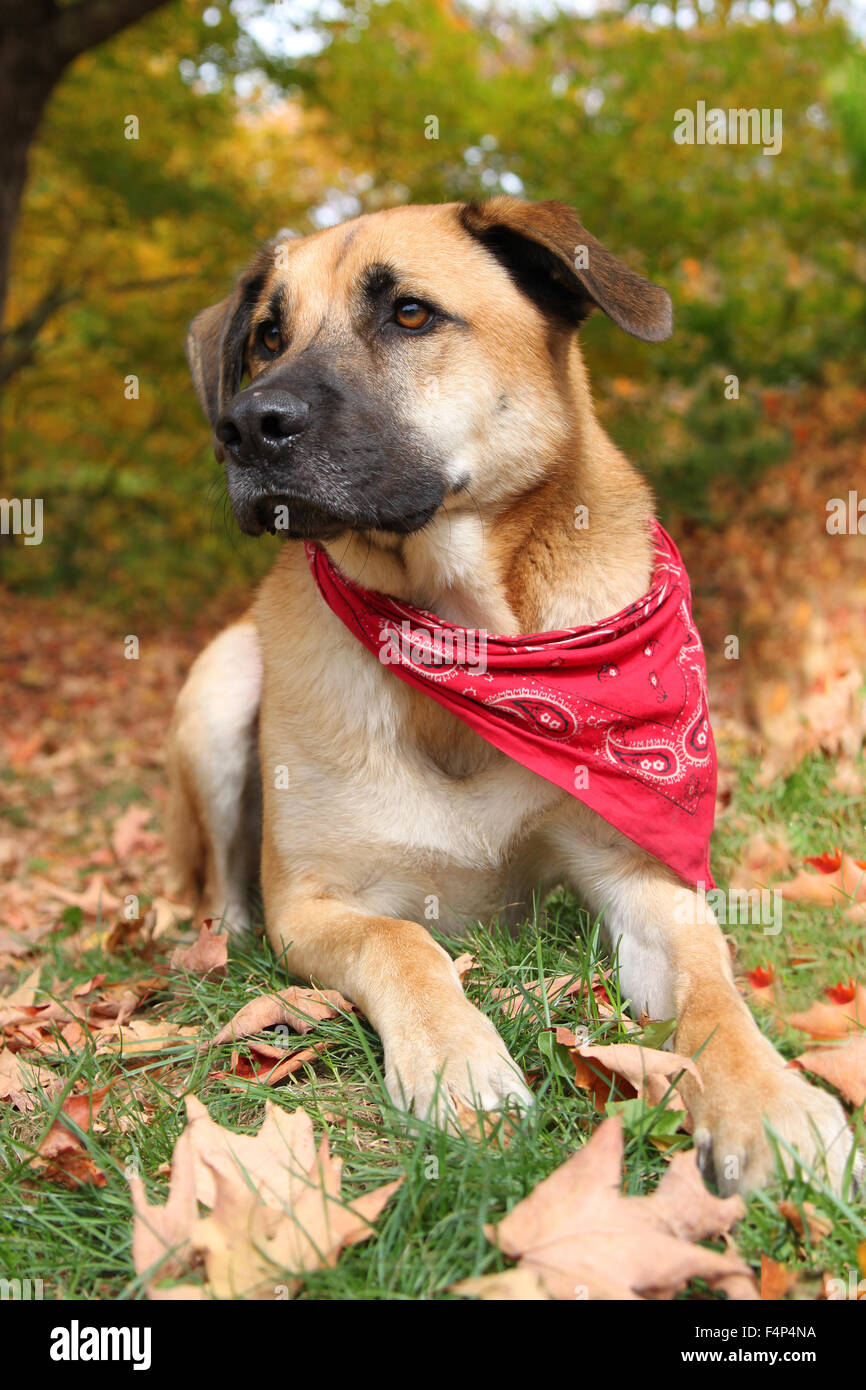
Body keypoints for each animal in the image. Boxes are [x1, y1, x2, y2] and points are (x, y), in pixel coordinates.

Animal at [166, 195, 856, 1195]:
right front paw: (457, 1064)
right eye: (268, 336)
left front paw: (770, 1101)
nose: (246, 427)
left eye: (410, 314)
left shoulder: (640, 873)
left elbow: (712, 986)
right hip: (221, 686)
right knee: (226, 884)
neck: (468, 633)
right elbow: (403, 944)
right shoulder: (316, 905)